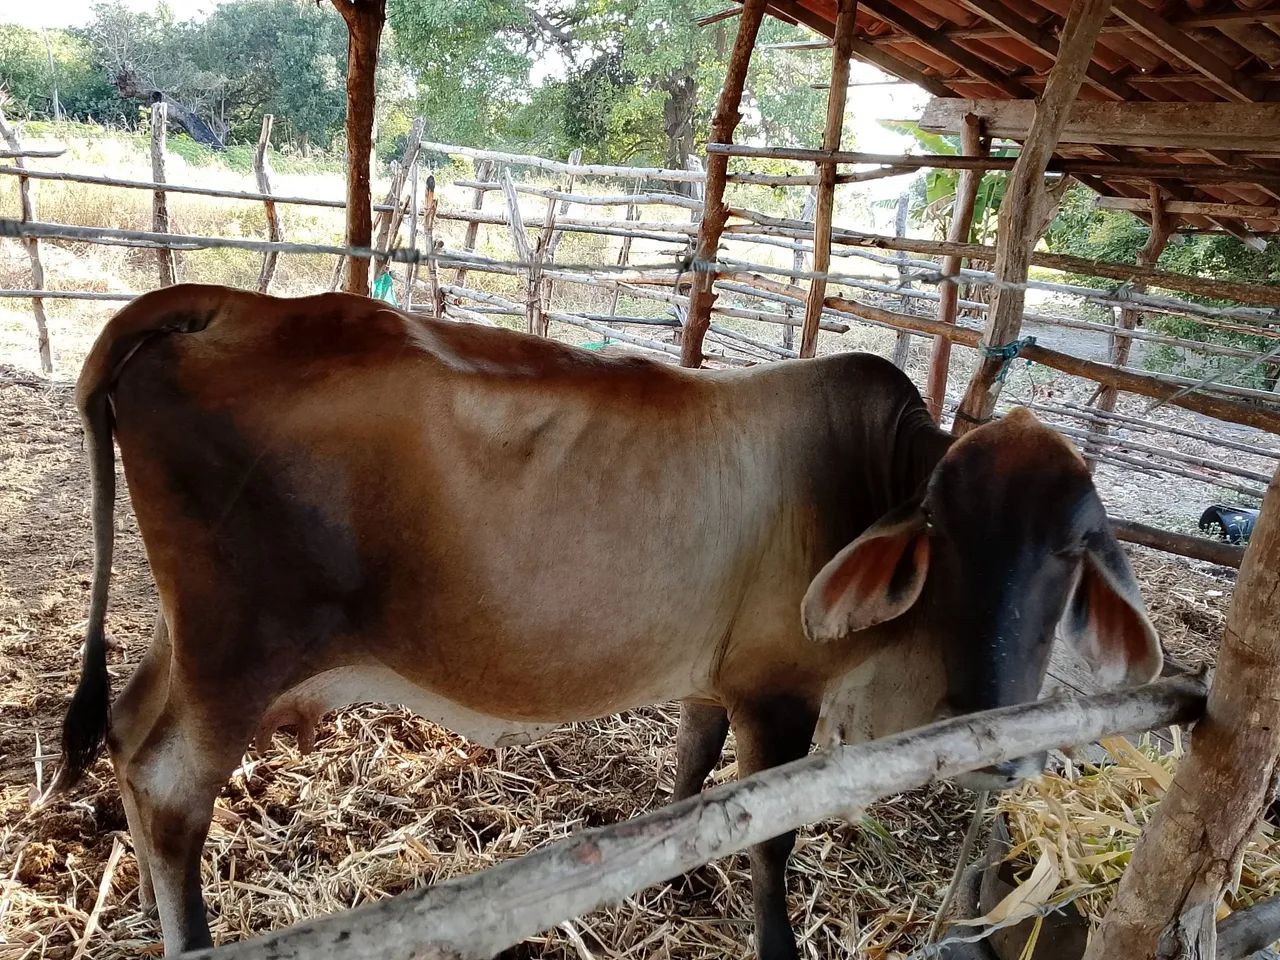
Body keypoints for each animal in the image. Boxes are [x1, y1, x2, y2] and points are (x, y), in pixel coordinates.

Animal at [46, 284, 1161, 959]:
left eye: (1076, 549)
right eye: (940, 526)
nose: (989, 713)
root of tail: (220, 306)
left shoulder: (719, 679)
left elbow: (693, 776)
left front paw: (678, 875)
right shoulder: (779, 692)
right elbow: (771, 836)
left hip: (191, 641)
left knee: (129, 731)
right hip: (242, 648)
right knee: (169, 787)